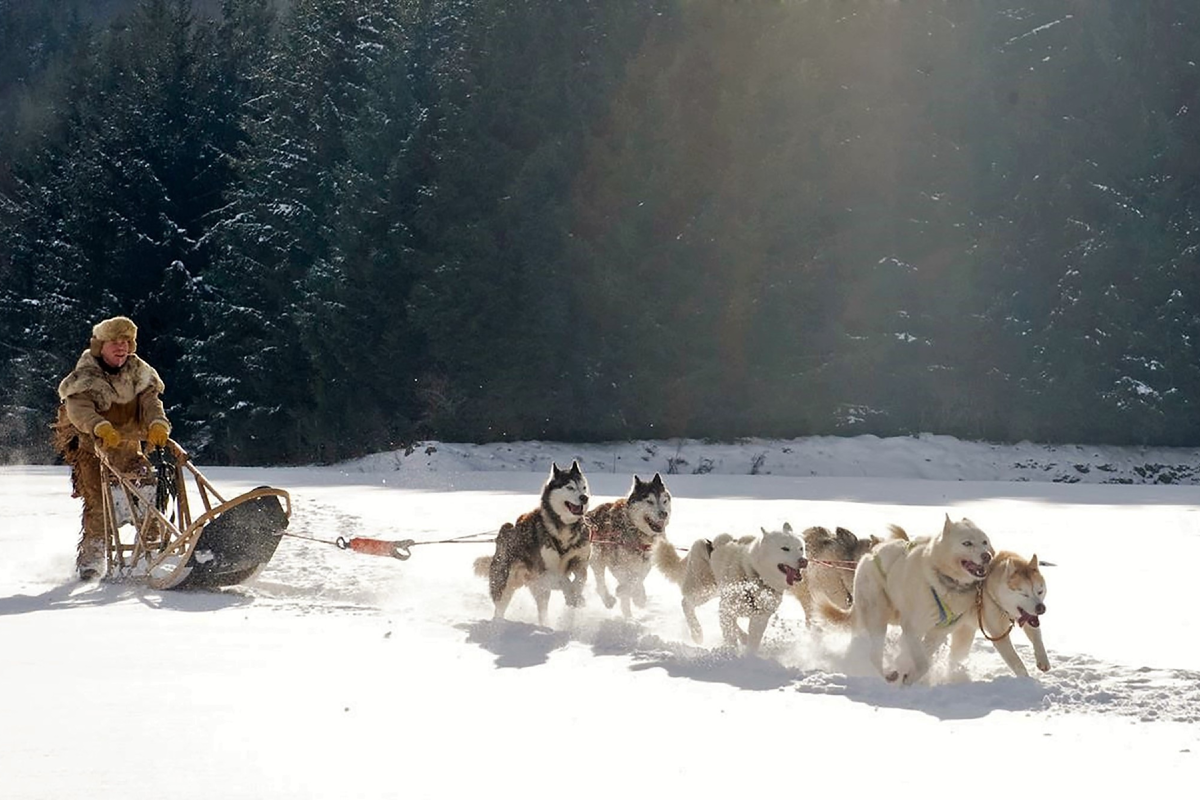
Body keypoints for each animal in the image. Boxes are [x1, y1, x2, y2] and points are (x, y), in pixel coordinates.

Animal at [652, 525, 811, 657]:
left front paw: (750, 659)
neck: (753, 577)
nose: (804, 561)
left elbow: (752, 640)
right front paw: (732, 656)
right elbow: (730, 638)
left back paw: (743, 636)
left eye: (801, 548)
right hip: (704, 590)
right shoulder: (728, 608)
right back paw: (697, 633)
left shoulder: (760, 617)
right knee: (686, 603)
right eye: (785, 548)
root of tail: (707, 542)